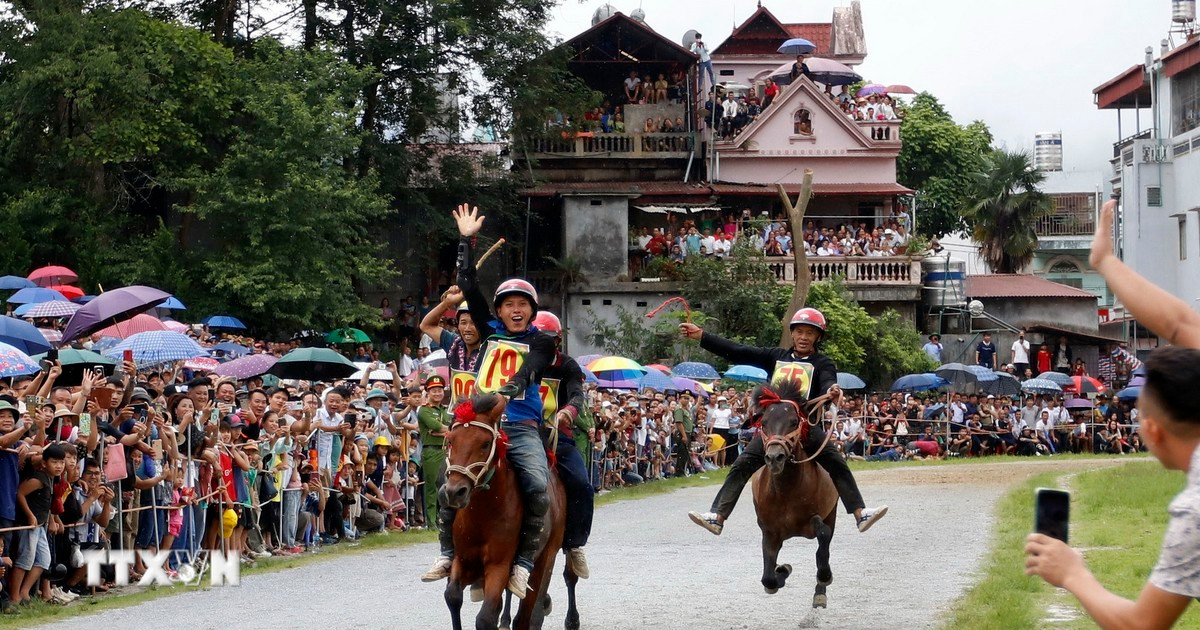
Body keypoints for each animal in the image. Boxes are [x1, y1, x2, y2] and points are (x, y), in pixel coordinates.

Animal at [441, 393, 571, 628]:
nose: (455, 492)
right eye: (451, 440)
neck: (482, 512)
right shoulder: (463, 559)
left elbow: (486, 617)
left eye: (485, 444)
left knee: (531, 613)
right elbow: (453, 596)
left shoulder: (499, 566)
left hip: (547, 555)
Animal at [744, 381, 840, 607]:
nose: (774, 457)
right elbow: (768, 578)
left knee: (825, 542)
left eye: (794, 421)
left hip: (832, 513)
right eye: (764, 422)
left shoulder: (814, 520)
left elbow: (823, 537)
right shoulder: (769, 531)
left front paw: (824, 576)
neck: (785, 491)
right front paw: (782, 569)